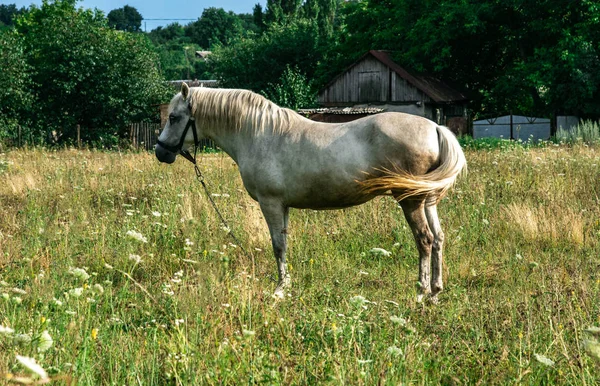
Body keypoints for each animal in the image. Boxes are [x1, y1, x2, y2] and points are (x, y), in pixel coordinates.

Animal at [155, 83, 464, 302]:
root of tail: (435, 127)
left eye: (173, 117)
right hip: (427, 200)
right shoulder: (283, 206)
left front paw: (279, 290)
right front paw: (287, 284)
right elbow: (284, 244)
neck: (258, 134)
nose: (160, 152)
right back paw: (435, 292)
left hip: (410, 201)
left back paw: (421, 293)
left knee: (424, 240)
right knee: (438, 238)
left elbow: (277, 246)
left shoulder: (270, 203)